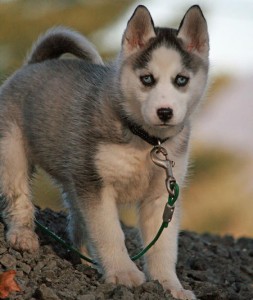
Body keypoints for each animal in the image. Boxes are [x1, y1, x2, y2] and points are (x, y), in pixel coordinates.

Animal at [0, 5, 209, 300]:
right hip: (13, 152)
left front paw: (170, 286)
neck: (146, 141)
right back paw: (23, 236)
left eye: (181, 80)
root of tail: (35, 63)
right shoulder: (96, 185)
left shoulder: (161, 195)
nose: (165, 112)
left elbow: (163, 247)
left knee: (78, 219)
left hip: (74, 174)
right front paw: (124, 274)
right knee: (18, 195)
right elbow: (110, 233)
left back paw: (85, 257)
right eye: (147, 79)